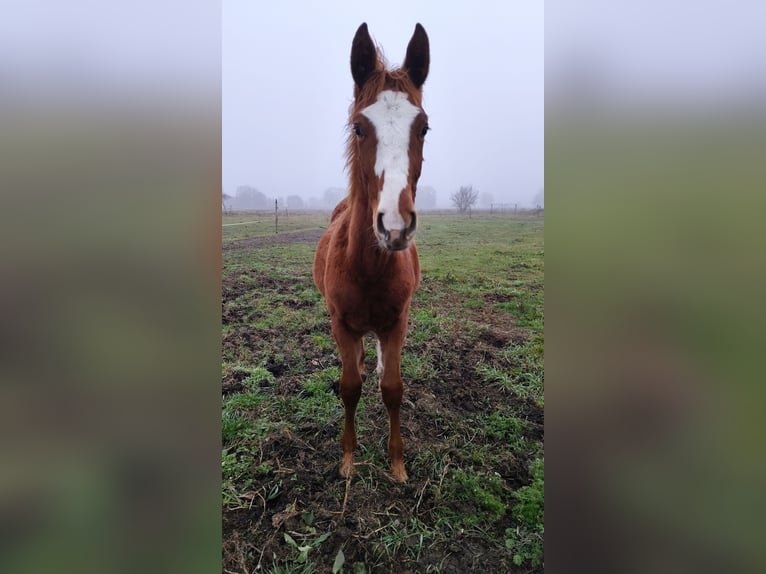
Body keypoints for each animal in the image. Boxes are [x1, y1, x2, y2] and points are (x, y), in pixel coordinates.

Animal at [313, 23, 430, 483]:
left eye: (424, 128)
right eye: (359, 127)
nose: (394, 225)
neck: (366, 268)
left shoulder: (397, 322)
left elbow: (392, 389)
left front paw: (397, 464)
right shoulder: (341, 324)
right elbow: (349, 388)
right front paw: (347, 459)